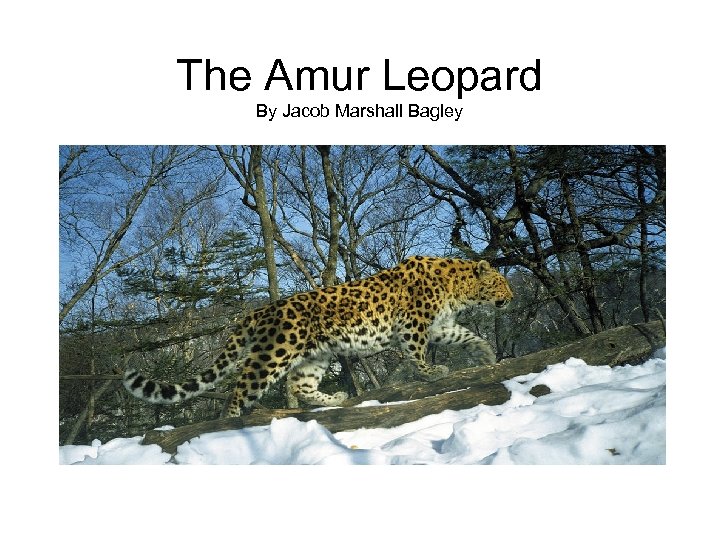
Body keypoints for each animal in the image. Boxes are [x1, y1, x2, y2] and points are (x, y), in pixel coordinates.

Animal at [123, 256, 513, 417]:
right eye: (501, 282)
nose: (510, 297)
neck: (458, 287)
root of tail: (259, 311)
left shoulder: (439, 325)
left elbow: (465, 335)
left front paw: (486, 355)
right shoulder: (414, 324)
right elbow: (417, 353)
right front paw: (432, 373)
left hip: (315, 356)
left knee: (300, 387)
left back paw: (336, 399)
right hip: (274, 353)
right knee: (241, 388)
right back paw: (230, 423)